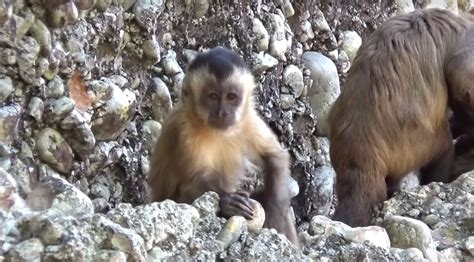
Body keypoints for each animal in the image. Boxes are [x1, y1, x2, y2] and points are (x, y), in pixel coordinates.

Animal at [148, 46, 298, 246]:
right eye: (212, 96)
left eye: (231, 97)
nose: (222, 113)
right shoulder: (183, 129)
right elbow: (190, 185)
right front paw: (228, 202)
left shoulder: (248, 118)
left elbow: (276, 156)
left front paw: (275, 210)